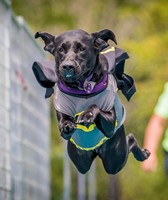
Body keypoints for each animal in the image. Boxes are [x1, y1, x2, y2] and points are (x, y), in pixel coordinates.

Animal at [33, 28, 150, 174]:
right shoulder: (62, 109)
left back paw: (142, 153)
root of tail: (96, 150)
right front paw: (67, 125)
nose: (67, 66)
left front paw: (87, 114)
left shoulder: (110, 122)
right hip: (80, 160)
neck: (82, 88)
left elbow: (96, 107)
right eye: (60, 49)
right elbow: (64, 123)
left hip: (115, 158)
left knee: (130, 140)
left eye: (82, 48)